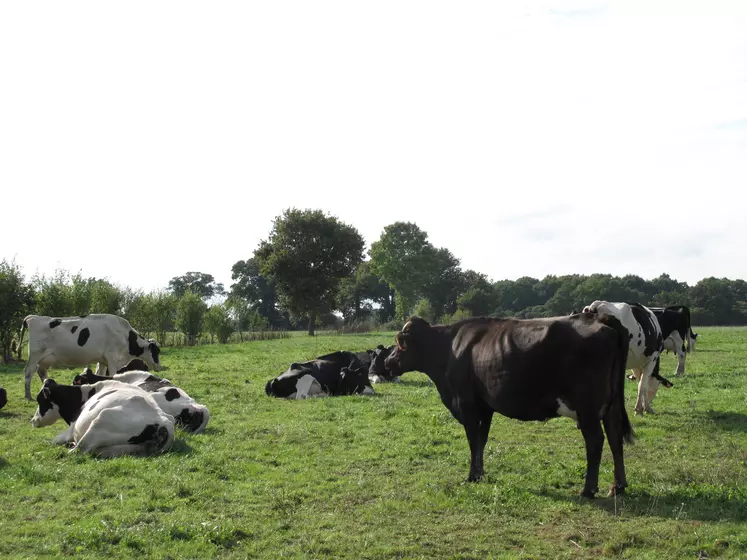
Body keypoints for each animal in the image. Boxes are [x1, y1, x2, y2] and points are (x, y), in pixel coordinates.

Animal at [16, 312, 163, 400]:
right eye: (157, 351)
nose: (159, 367)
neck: (126, 336)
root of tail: (32, 317)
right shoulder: (112, 358)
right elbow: (114, 374)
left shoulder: (103, 360)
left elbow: (101, 374)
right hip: (34, 356)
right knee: (28, 373)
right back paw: (28, 396)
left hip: (44, 360)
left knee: (42, 373)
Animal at [31, 376, 175, 460]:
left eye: (40, 401)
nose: (33, 420)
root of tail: (164, 422)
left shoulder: (72, 429)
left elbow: (54, 440)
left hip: (101, 419)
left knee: (77, 451)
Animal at [382, 316, 636, 498]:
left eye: (399, 345)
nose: (387, 362)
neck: (449, 348)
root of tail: (600, 319)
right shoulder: (485, 407)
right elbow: (481, 441)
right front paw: (479, 473)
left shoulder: (466, 404)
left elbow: (473, 440)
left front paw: (471, 476)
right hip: (611, 406)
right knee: (615, 438)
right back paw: (619, 485)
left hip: (587, 409)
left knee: (595, 441)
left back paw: (588, 489)